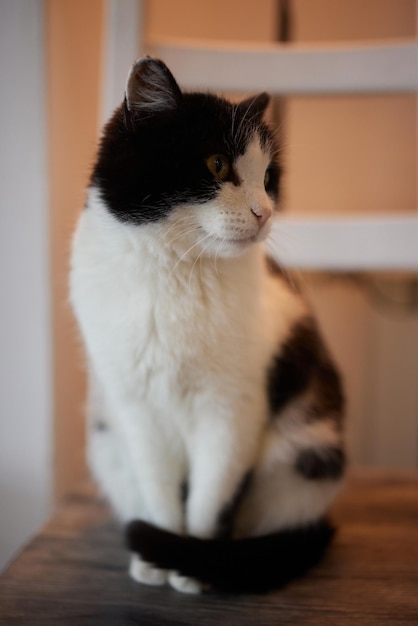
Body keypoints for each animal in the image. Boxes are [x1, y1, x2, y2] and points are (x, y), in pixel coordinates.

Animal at [70, 56, 346, 592]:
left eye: (269, 176)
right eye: (218, 164)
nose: (264, 212)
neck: (174, 274)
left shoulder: (234, 411)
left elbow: (211, 496)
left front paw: (191, 564)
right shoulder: (136, 409)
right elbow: (159, 488)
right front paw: (158, 559)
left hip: (303, 454)